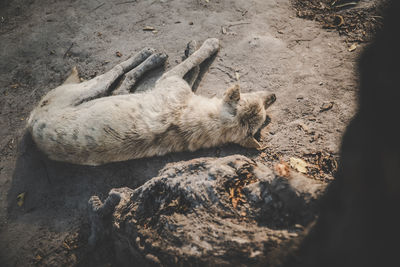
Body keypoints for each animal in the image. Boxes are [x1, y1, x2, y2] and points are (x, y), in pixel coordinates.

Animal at [27, 38, 276, 166]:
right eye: (261, 101)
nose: (274, 96)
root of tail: (32, 126)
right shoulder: (174, 82)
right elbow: (193, 65)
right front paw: (196, 47)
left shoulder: (170, 80)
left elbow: (192, 63)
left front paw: (204, 45)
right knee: (120, 78)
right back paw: (151, 56)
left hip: (89, 89)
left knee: (119, 74)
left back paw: (150, 56)